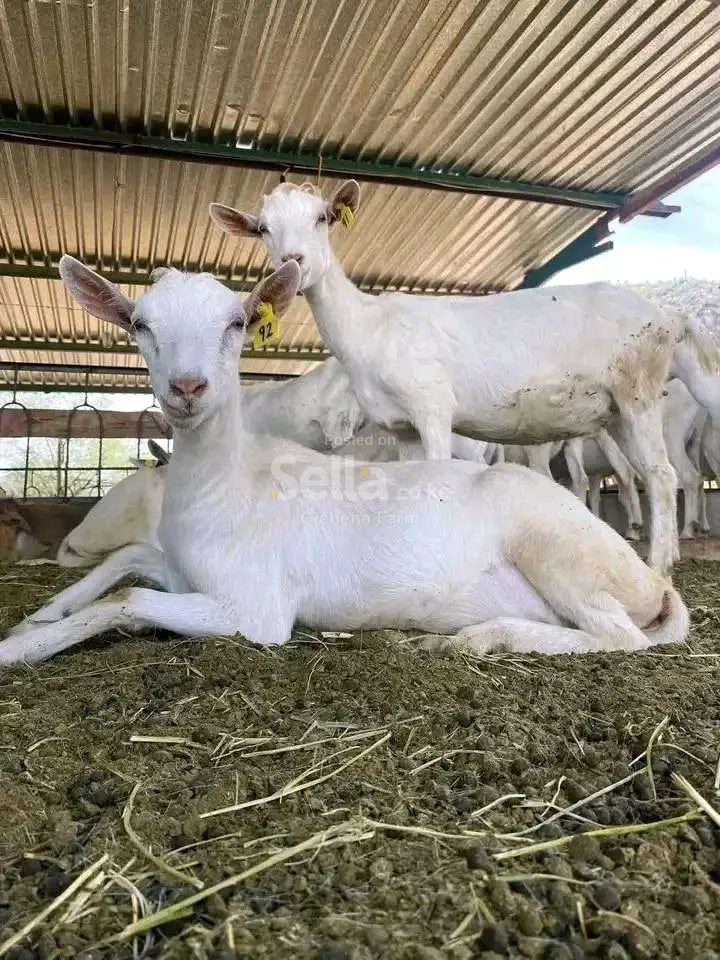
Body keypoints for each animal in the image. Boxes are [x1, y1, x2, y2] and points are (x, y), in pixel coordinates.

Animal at [0, 255, 689, 664]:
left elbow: (129, 601)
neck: (224, 487)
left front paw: (21, 648)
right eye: (140, 323)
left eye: (236, 323)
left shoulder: (255, 606)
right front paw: (39, 617)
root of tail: (652, 584)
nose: (187, 387)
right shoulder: (180, 567)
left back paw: (486, 637)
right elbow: (127, 563)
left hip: (559, 550)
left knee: (622, 636)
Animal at [208, 183, 719, 576]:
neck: (370, 326)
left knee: (662, 475)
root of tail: (667, 317)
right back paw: (667, 556)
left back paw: (658, 566)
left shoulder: (432, 406)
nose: (293, 262)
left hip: (638, 388)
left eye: (321, 218)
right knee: (651, 474)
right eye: (263, 228)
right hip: (616, 411)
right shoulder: (401, 428)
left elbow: (438, 476)